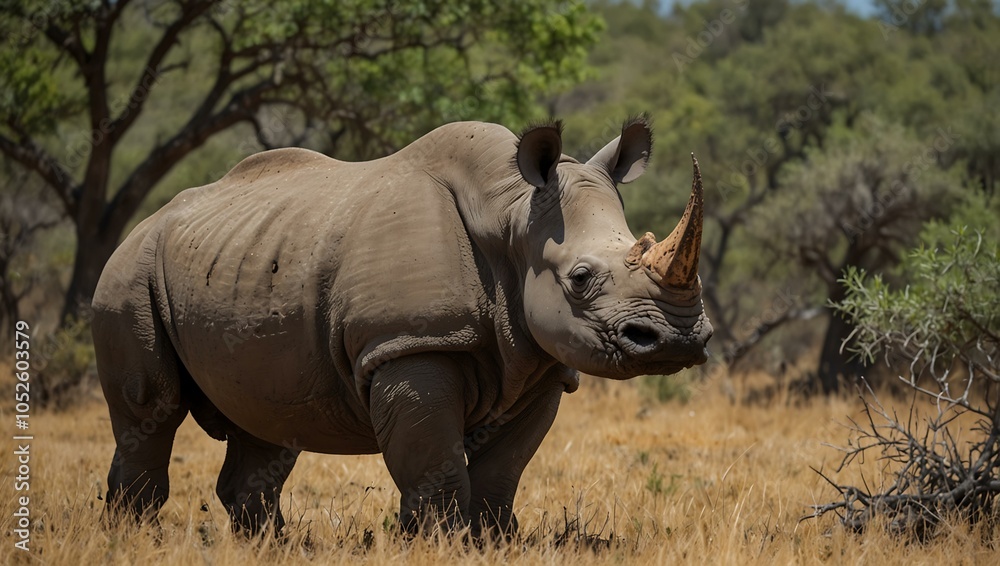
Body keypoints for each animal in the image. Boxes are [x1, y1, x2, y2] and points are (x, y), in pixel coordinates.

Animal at [92, 116, 713, 537]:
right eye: (580, 278)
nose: (679, 339)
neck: (510, 216)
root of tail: (146, 222)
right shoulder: (408, 343)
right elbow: (435, 468)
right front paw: (440, 543)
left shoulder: (540, 362)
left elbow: (502, 473)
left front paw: (490, 542)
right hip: (128, 274)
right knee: (150, 410)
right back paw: (135, 537)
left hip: (251, 261)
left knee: (267, 418)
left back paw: (269, 546)